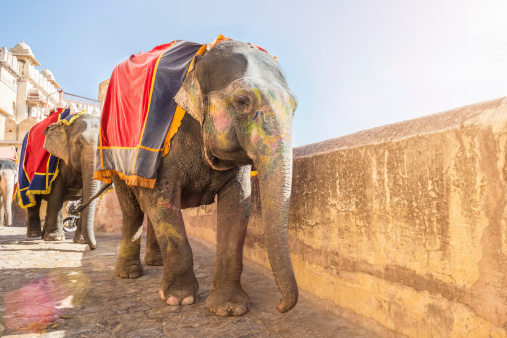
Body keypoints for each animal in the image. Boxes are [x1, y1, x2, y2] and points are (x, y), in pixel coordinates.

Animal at [19, 109, 100, 247]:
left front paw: (81, 241)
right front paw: (55, 238)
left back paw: (43, 234)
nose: (93, 247)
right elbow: (57, 190)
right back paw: (34, 235)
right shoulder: (57, 159)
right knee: (34, 199)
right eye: (79, 144)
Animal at [93, 37, 298, 316]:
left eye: (294, 109)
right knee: (133, 210)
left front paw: (230, 309)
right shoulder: (163, 145)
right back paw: (129, 274)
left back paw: (156, 262)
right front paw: (179, 299)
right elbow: (163, 198)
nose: (279, 306)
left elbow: (237, 205)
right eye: (242, 101)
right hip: (114, 160)